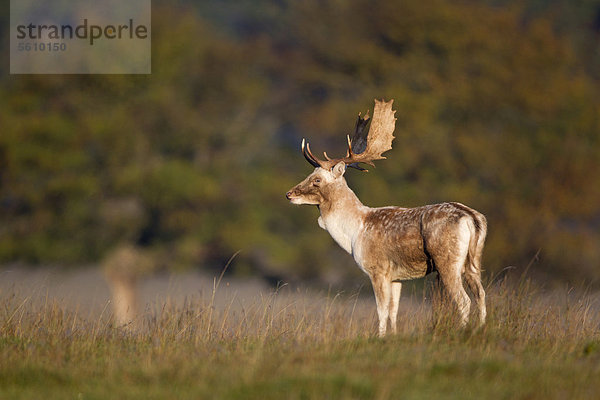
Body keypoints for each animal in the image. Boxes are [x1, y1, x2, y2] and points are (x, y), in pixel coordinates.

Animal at [286, 98, 488, 336]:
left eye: (316, 180)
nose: (289, 194)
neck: (355, 232)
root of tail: (472, 217)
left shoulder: (378, 269)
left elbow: (381, 311)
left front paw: (380, 337)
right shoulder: (397, 277)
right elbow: (393, 312)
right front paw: (393, 336)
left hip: (447, 260)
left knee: (464, 300)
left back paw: (462, 331)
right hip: (474, 259)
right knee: (481, 294)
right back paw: (481, 329)